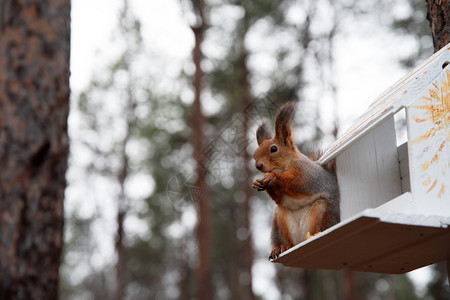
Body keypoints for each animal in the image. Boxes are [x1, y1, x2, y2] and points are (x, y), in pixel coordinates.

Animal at [251, 101, 340, 260]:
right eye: (255, 153)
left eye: (274, 149)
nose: (258, 165)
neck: (284, 167)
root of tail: (301, 241)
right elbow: (279, 197)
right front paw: (258, 182)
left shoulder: (307, 175)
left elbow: (297, 184)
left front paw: (273, 178)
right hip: (279, 221)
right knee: (288, 242)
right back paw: (281, 247)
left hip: (324, 212)